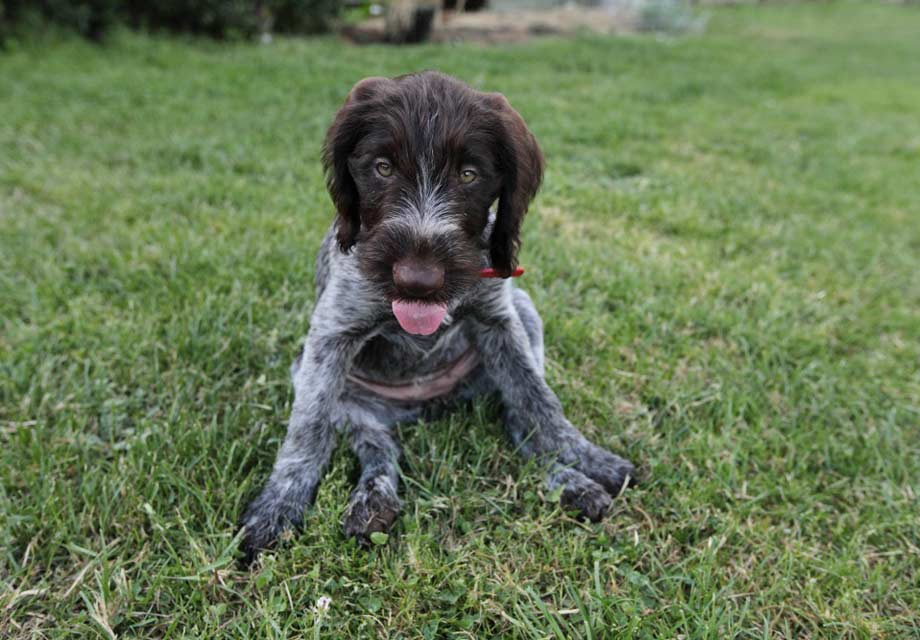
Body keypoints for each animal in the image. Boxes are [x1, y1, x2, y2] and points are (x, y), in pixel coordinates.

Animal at [241, 71, 636, 560]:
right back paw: (372, 502)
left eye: (469, 175)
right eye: (383, 168)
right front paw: (279, 505)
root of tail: (426, 407)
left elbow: (539, 403)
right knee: (378, 447)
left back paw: (568, 481)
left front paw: (584, 457)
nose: (418, 281)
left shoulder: (500, 321)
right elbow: (307, 430)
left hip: (524, 315)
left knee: (516, 420)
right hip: (335, 391)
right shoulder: (332, 334)